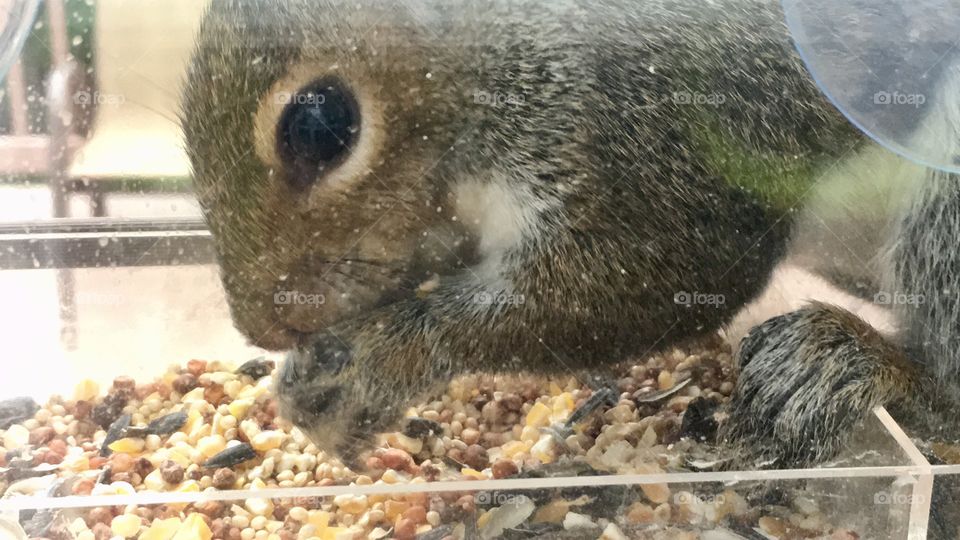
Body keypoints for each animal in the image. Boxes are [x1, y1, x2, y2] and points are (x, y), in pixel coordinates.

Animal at [181, 0, 960, 478]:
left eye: (319, 124)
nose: (261, 326)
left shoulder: (651, 136)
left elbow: (651, 279)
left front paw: (367, 368)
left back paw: (848, 363)